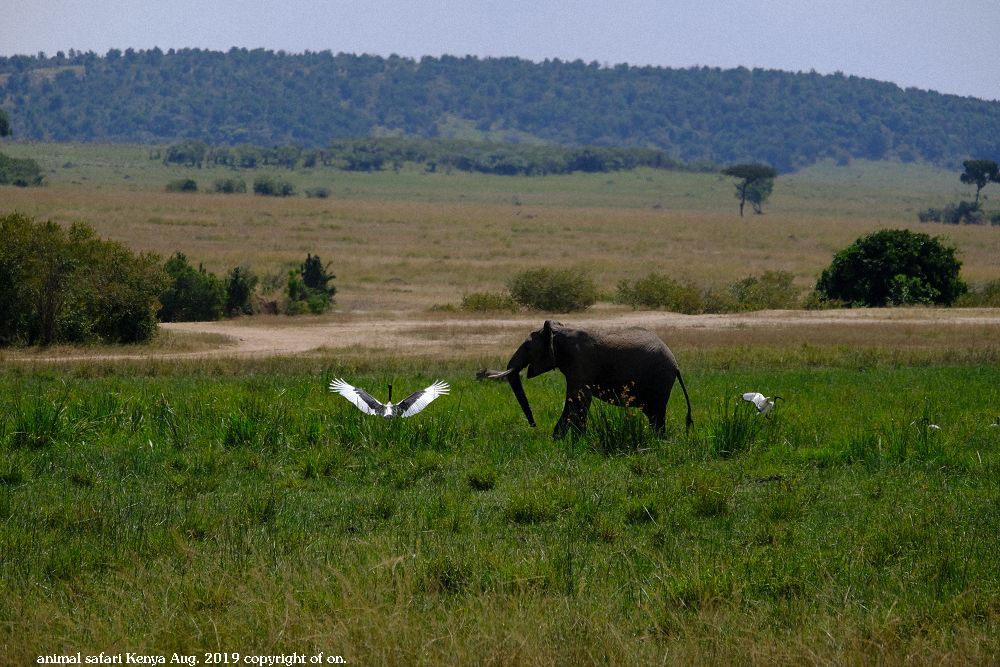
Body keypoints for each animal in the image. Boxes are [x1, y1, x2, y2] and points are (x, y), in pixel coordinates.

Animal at [480, 322, 692, 440]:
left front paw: (568, 441)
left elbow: (578, 400)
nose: (533, 425)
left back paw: (657, 441)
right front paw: (562, 440)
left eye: (526, 347)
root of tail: (676, 365)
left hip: (660, 380)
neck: (558, 331)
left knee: (656, 414)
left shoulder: (581, 363)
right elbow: (575, 401)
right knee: (652, 414)